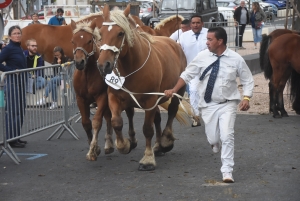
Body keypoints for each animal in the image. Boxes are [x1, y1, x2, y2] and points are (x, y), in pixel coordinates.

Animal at [71, 19, 140, 160]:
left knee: (128, 114)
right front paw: (92, 144)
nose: (79, 62)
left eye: (89, 41)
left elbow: (96, 122)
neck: (87, 73)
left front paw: (93, 149)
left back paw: (130, 140)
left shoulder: (102, 96)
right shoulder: (80, 99)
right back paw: (109, 144)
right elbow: (86, 123)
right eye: (73, 41)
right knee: (108, 117)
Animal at [96, 5, 188, 170]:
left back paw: (165, 140)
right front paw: (124, 145)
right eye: (101, 32)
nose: (103, 65)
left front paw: (148, 159)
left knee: (171, 111)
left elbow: (147, 129)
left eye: (120, 33)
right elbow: (116, 122)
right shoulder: (114, 96)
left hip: (178, 90)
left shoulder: (150, 100)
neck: (132, 66)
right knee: (157, 118)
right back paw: (158, 146)